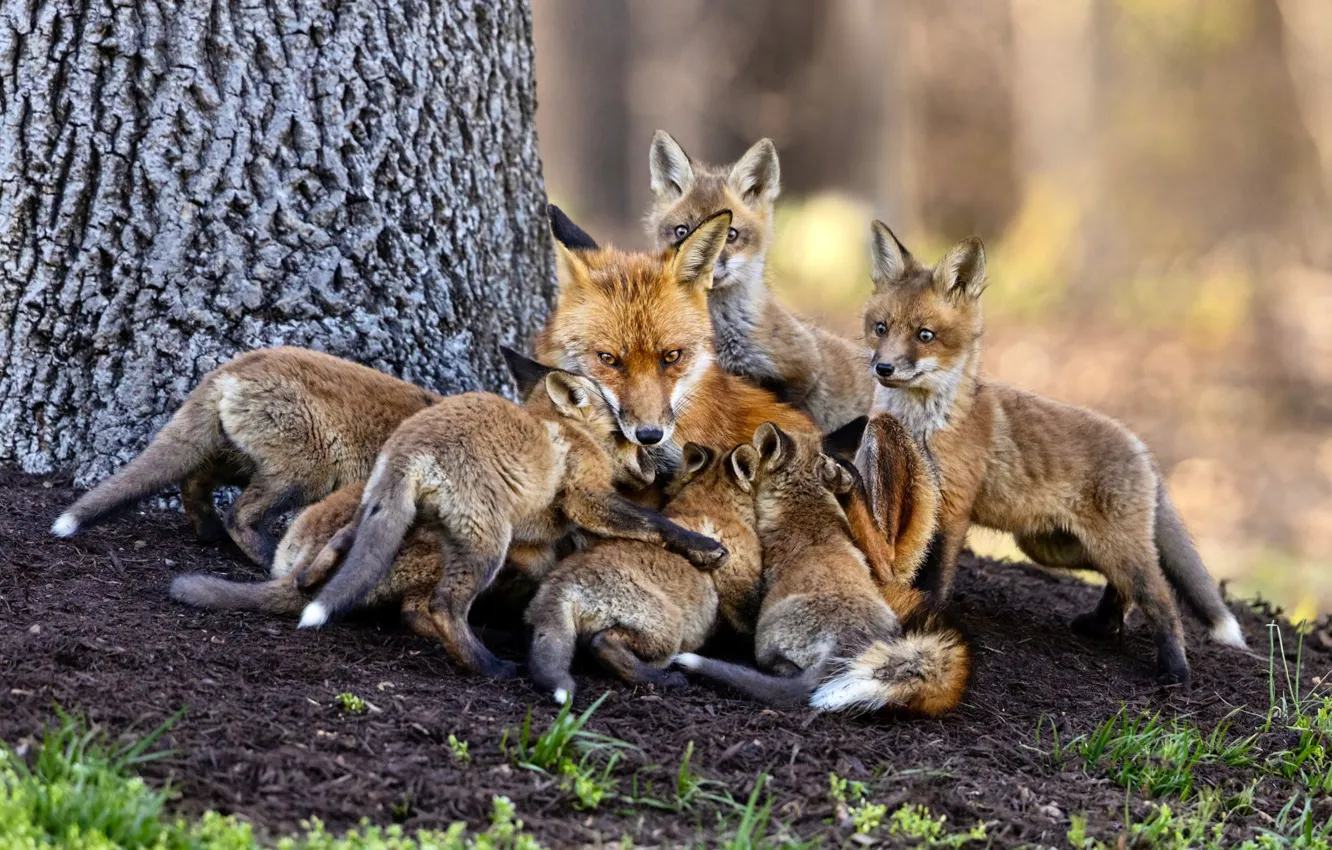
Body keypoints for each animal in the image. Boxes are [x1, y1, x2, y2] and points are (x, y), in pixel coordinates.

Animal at [51, 347, 441, 566]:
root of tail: (231, 368)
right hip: (306, 474)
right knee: (238, 512)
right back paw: (266, 557)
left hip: (238, 459)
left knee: (194, 480)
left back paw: (208, 532)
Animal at [294, 347, 728, 678]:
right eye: (626, 434)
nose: (658, 465)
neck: (572, 433)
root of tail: (412, 442)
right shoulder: (587, 498)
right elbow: (655, 523)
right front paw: (703, 547)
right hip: (488, 543)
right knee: (439, 607)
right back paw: (489, 666)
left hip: (383, 509)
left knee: (345, 542)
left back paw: (309, 579)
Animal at [525, 440, 763, 704]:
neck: (711, 503)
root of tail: (562, 584)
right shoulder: (740, 579)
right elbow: (750, 623)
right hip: (668, 627)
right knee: (604, 643)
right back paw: (667, 680)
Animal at [859, 221, 1247, 686]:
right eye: (881, 328)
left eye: (925, 336)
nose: (883, 368)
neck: (923, 425)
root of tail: (1140, 446)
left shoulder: (952, 506)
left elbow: (934, 575)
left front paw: (924, 619)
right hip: (1056, 547)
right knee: (1124, 587)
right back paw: (1101, 626)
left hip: (1109, 547)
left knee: (1161, 597)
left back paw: (1174, 671)